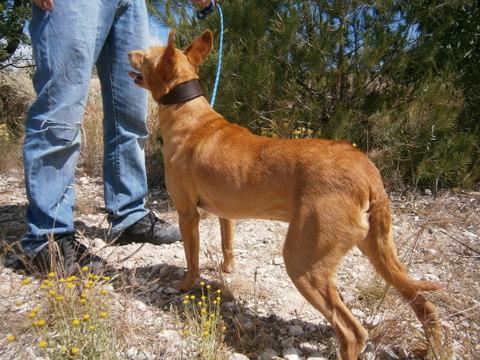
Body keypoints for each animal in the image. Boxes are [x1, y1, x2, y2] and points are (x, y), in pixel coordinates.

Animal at [130, 31, 442, 360]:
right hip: (378, 250)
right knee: (424, 304)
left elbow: (192, 258)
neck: (188, 114)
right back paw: (430, 348)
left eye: (146, 57)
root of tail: (368, 172)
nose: (128, 53)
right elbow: (228, 245)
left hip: (304, 262)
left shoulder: (187, 213)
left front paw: (186, 285)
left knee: (352, 332)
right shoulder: (226, 213)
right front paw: (227, 270)